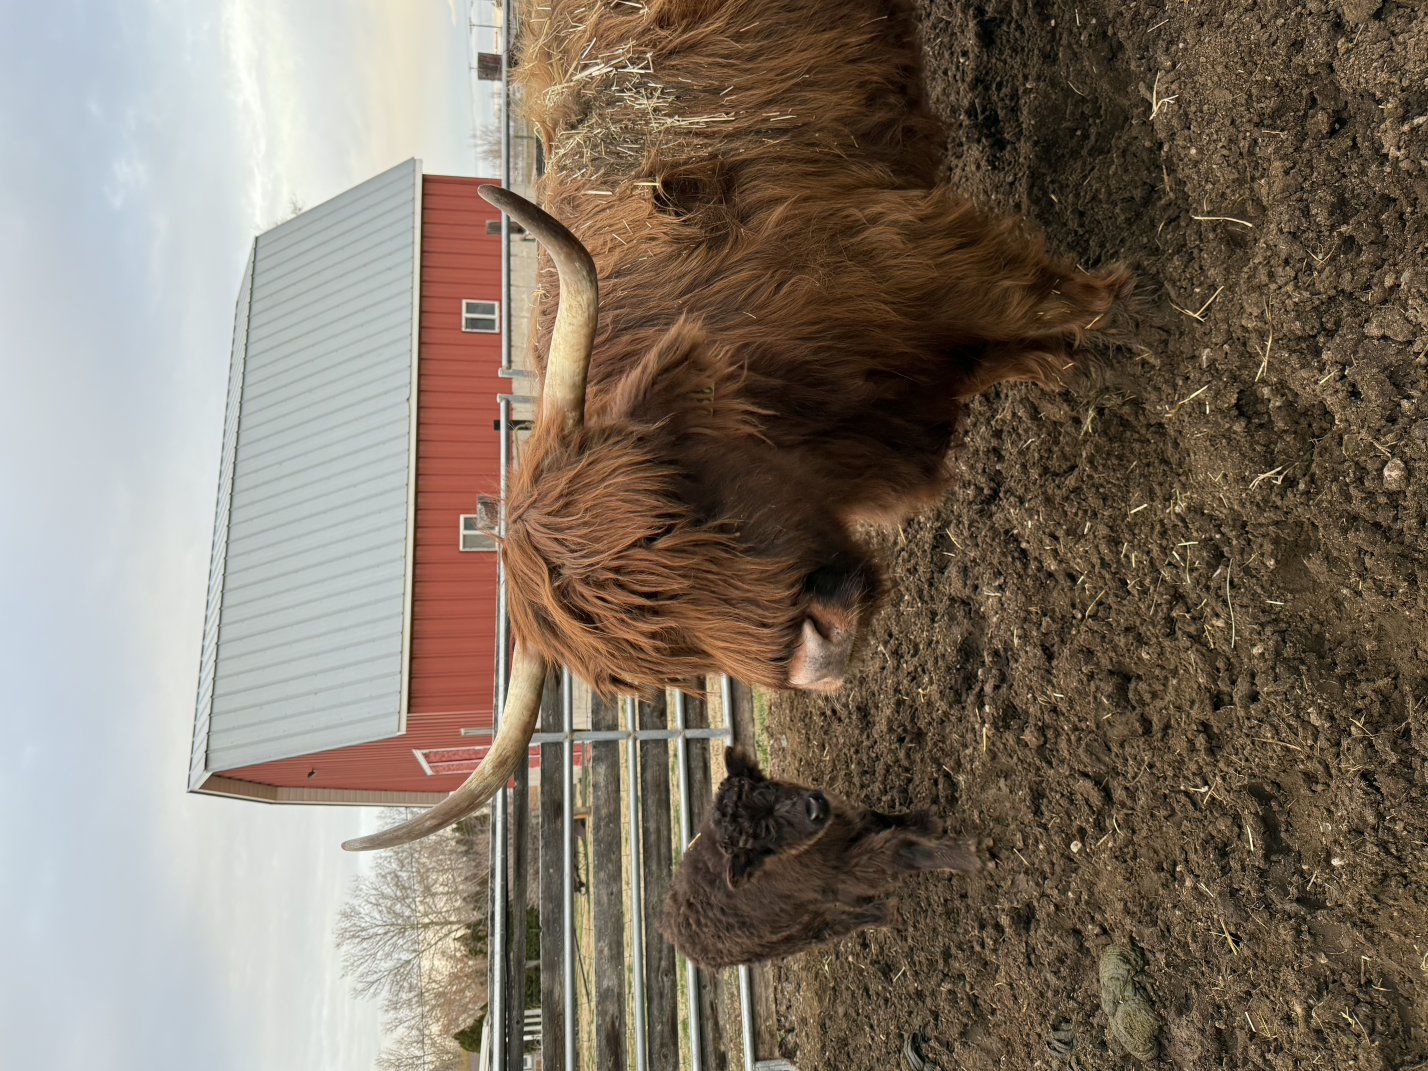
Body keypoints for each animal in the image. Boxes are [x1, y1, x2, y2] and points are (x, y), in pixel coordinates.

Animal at [345, 0, 1130, 851]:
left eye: (670, 502)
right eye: (666, 654)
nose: (822, 653)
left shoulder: (917, 252)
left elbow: (1058, 298)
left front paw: (1129, 320)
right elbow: (1022, 349)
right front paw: (1068, 363)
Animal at [659, 748, 980, 968]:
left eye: (768, 788)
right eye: (764, 835)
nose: (814, 807)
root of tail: (672, 929)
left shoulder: (849, 823)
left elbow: (884, 820)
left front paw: (926, 823)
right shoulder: (851, 869)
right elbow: (902, 851)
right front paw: (971, 855)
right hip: (798, 932)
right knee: (838, 924)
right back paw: (883, 913)